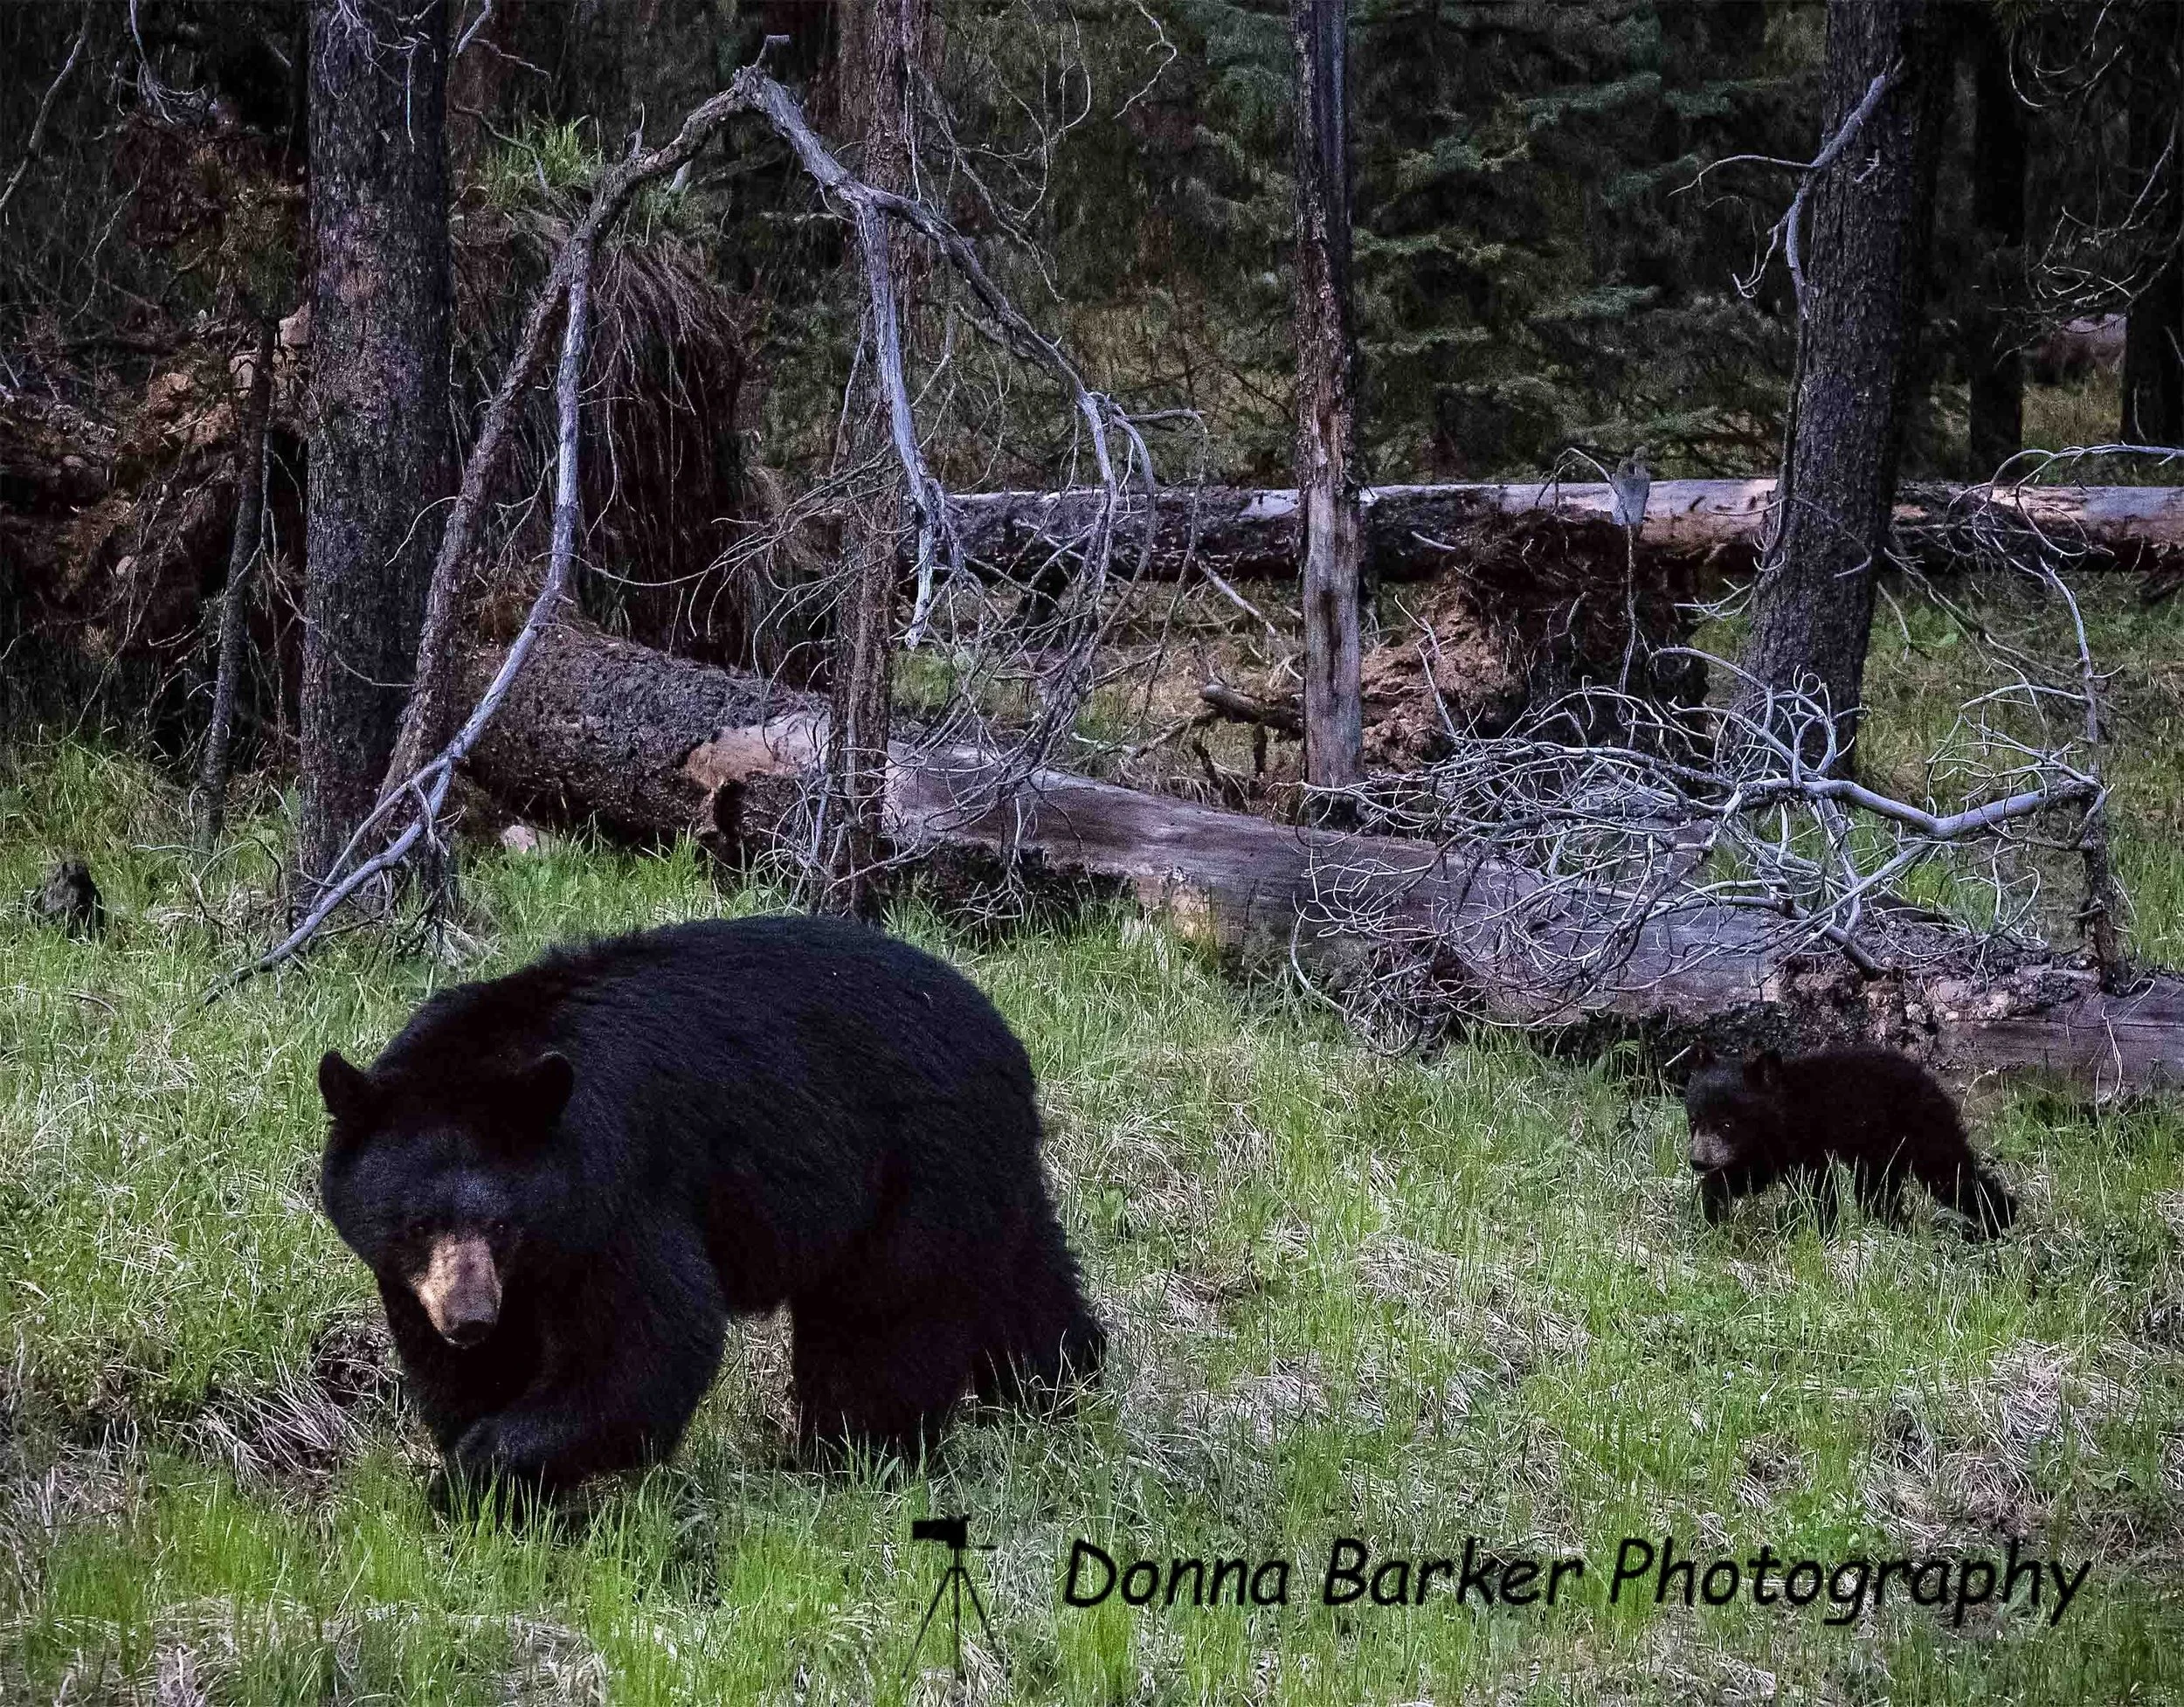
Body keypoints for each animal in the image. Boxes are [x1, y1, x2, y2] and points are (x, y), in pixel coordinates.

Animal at [316, 913, 1104, 1493]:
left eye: (502, 1223)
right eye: (418, 1223)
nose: (470, 1319)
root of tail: (1003, 1037)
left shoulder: (625, 1188)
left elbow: (645, 1344)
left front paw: (478, 1473)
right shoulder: (435, 1275)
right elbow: (471, 1365)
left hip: (916, 1168)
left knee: (885, 1321)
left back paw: (848, 1457)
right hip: (984, 1172)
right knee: (1023, 1276)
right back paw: (1059, 1386)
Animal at [1683, 1046, 2017, 1238]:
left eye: (1727, 1123)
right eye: (1694, 1120)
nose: (1698, 1161)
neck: (1783, 1113)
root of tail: (1931, 1082)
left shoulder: (1808, 1141)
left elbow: (1817, 1186)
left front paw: (1820, 1231)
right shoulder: (1768, 1149)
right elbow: (1747, 1176)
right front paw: (1713, 1211)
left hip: (1921, 1130)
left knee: (1951, 1174)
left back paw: (1999, 1220)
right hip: (1881, 1151)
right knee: (1879, 1191)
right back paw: (1893, 1224)